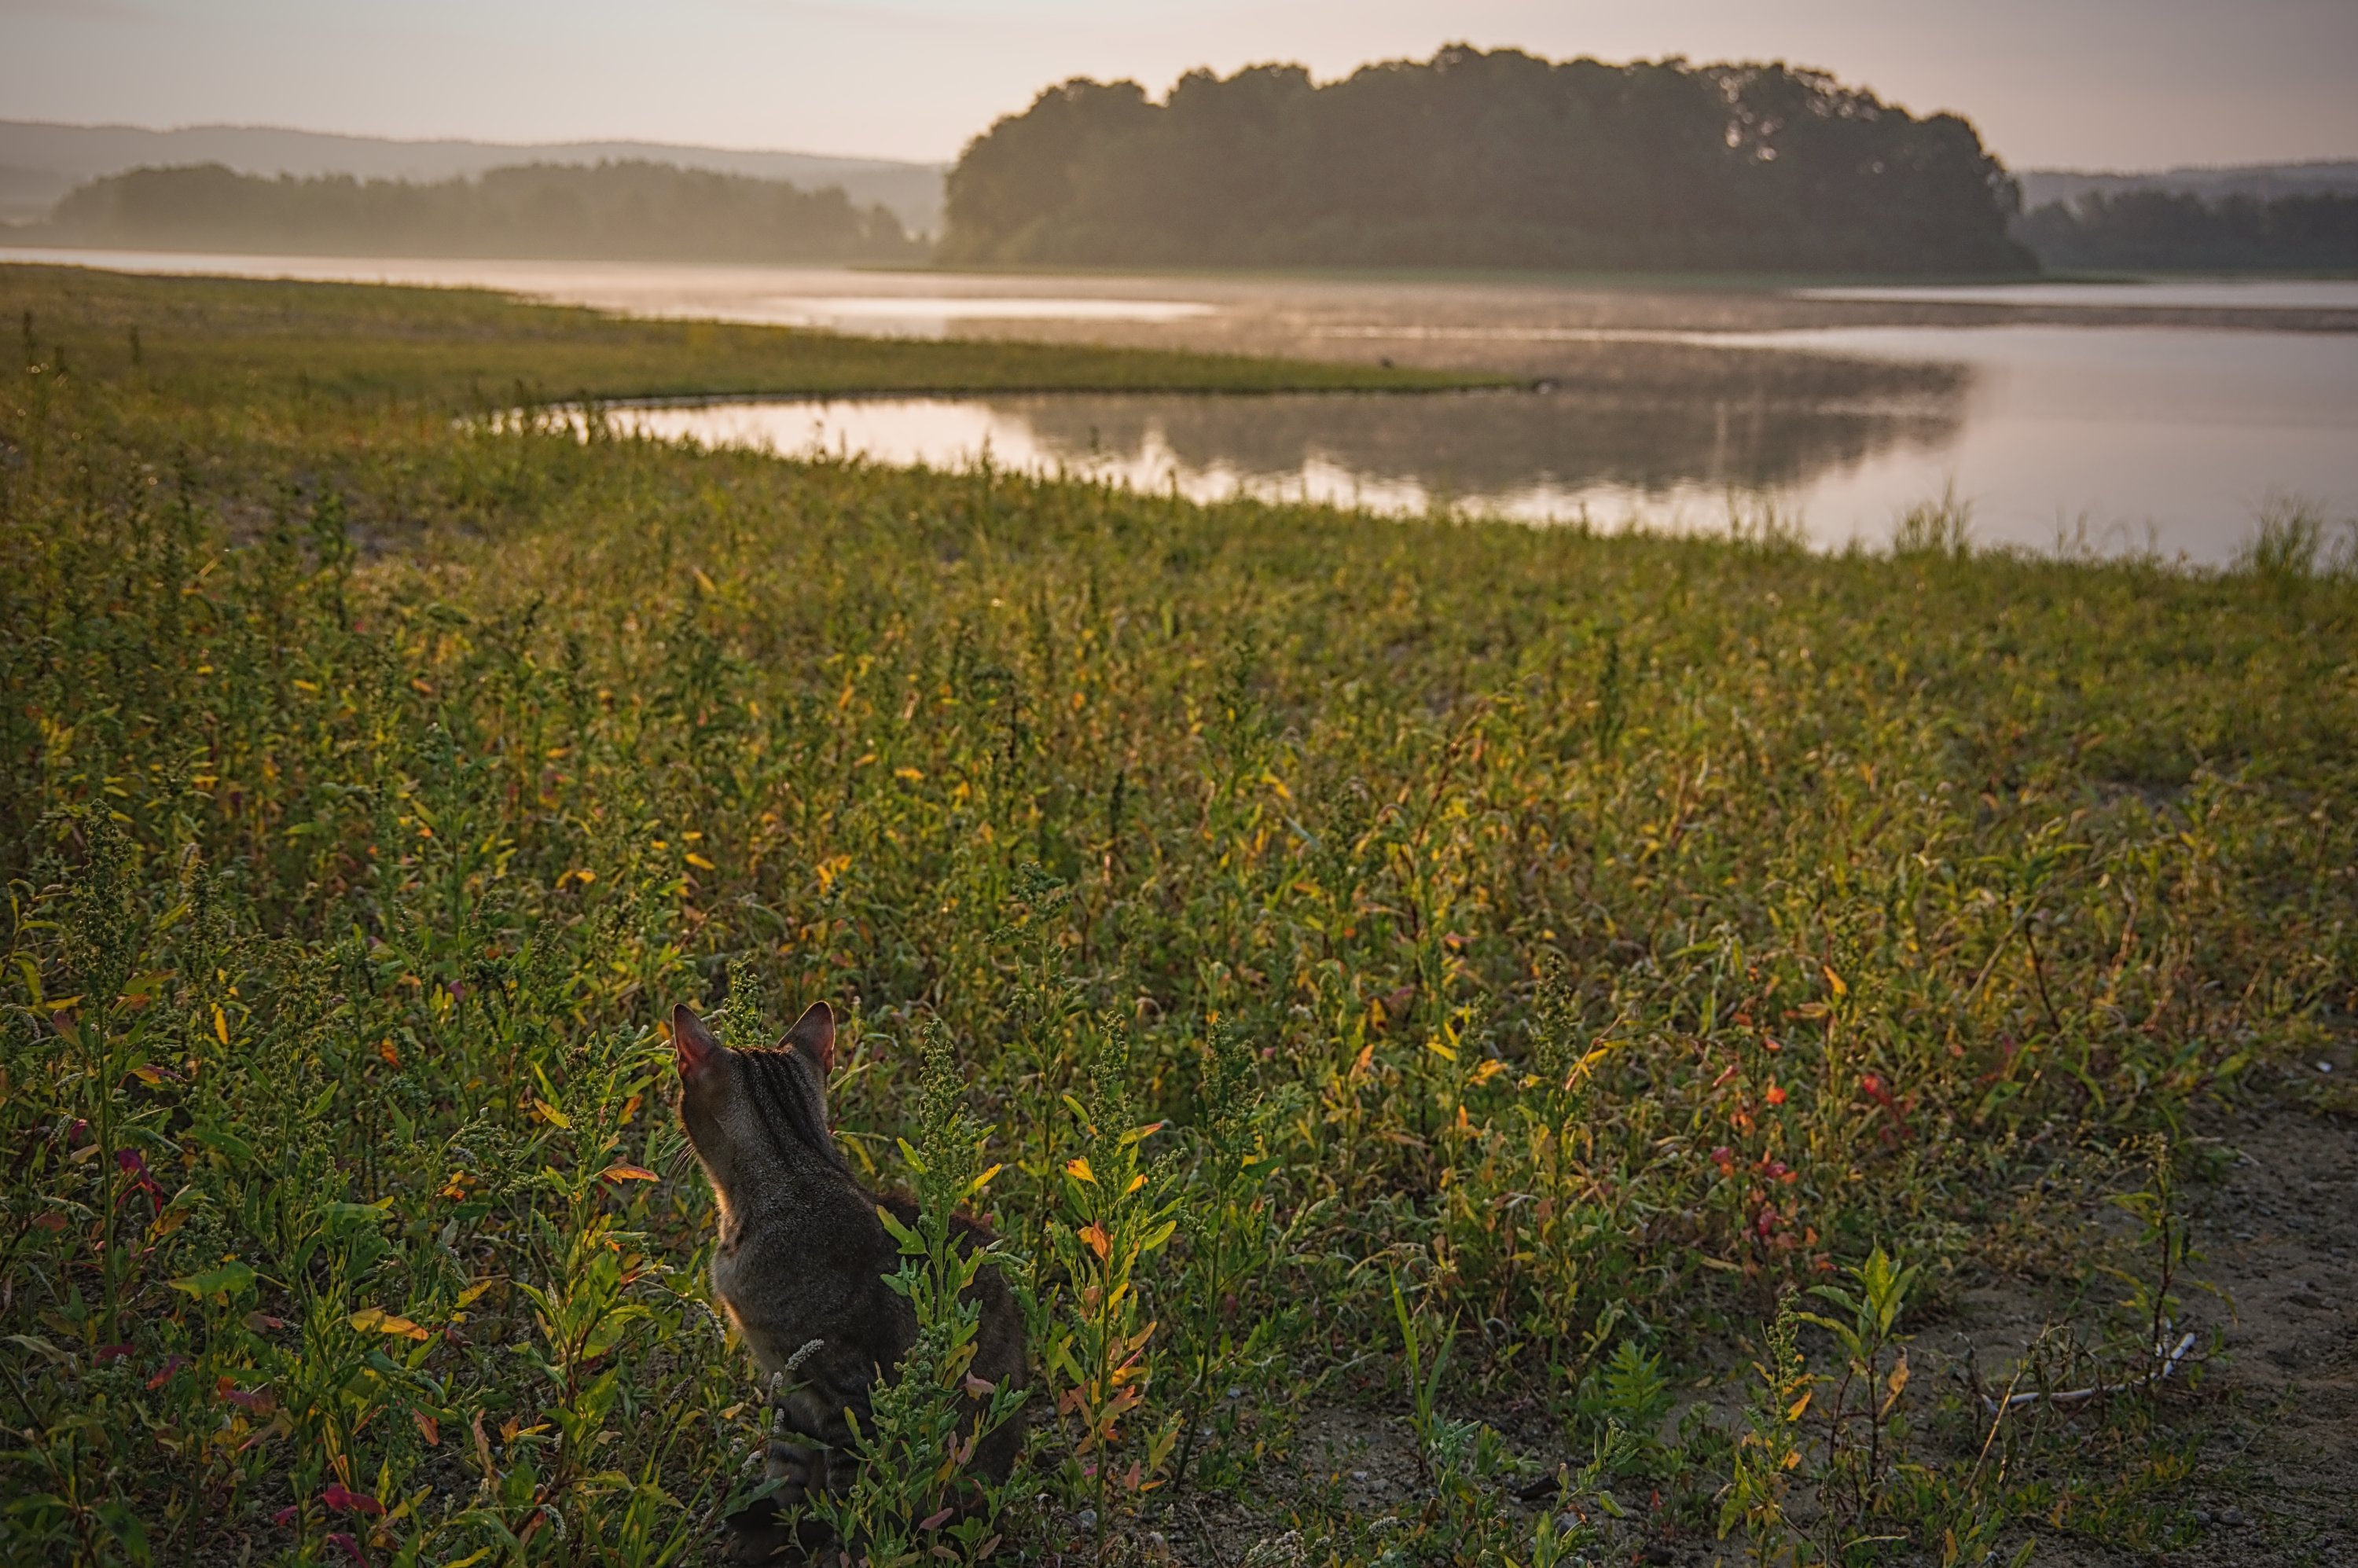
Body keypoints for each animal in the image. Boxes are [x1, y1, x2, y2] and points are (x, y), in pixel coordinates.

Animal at [674, 995, 1023, 1556]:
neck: (792, 1171)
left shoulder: (847, 1391)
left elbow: (847, 1505)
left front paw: (825, 1541)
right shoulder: (788, 1387)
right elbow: (786, 1473)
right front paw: (772, 1528)